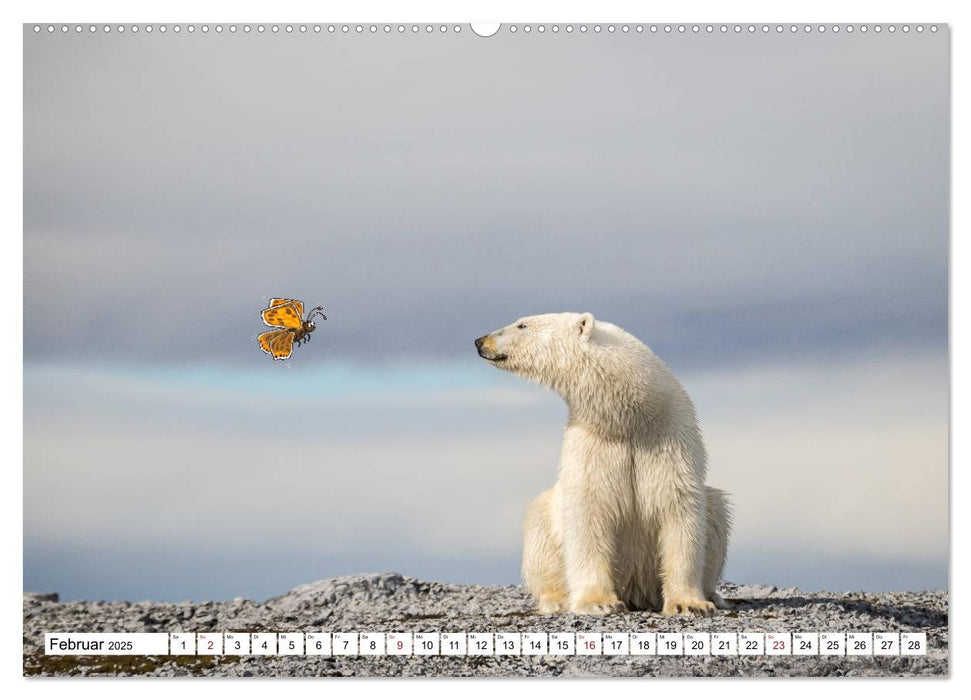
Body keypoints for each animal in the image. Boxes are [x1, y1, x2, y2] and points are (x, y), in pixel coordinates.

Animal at [474, 314, 732, 616]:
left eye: (522, 325)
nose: (480, 341)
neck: (630, 417)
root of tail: (636, 589)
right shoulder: (592, 445)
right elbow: (588, 511)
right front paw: (598, 602)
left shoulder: (669, 440)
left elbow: (678, 509)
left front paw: (689, 604)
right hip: (546, 519)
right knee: (540, 539)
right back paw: (556, 599)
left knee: (716, 513)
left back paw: (714, 594)